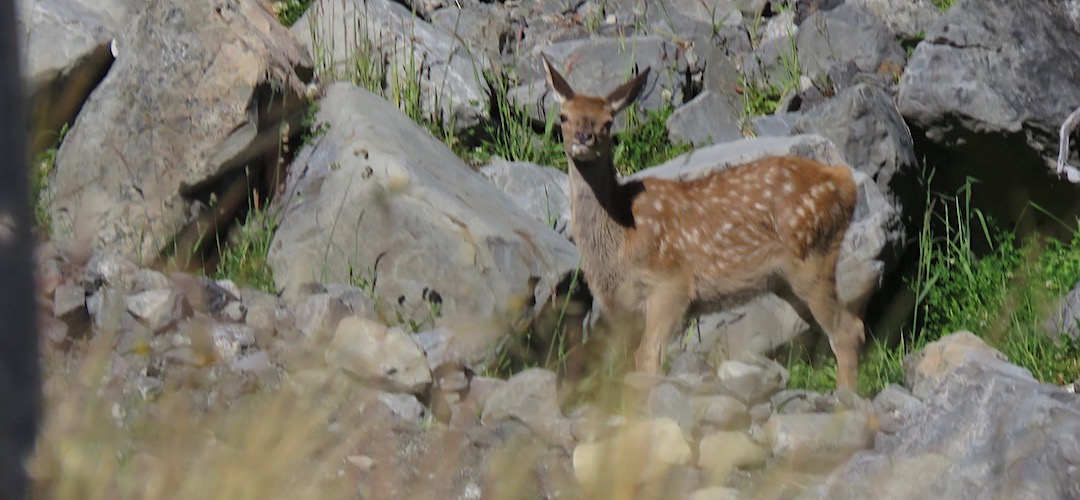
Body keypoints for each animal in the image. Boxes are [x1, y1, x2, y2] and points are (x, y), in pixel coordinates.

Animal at [541, 55, 866, 389]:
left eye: (608, 122)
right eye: (564, 117)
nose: (584, 138)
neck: (621, 235)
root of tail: (845, 181)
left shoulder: (672, 283)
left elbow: (648, 357)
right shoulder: (622, 310)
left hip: (812, 257)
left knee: (848, 329)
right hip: (785, 278)